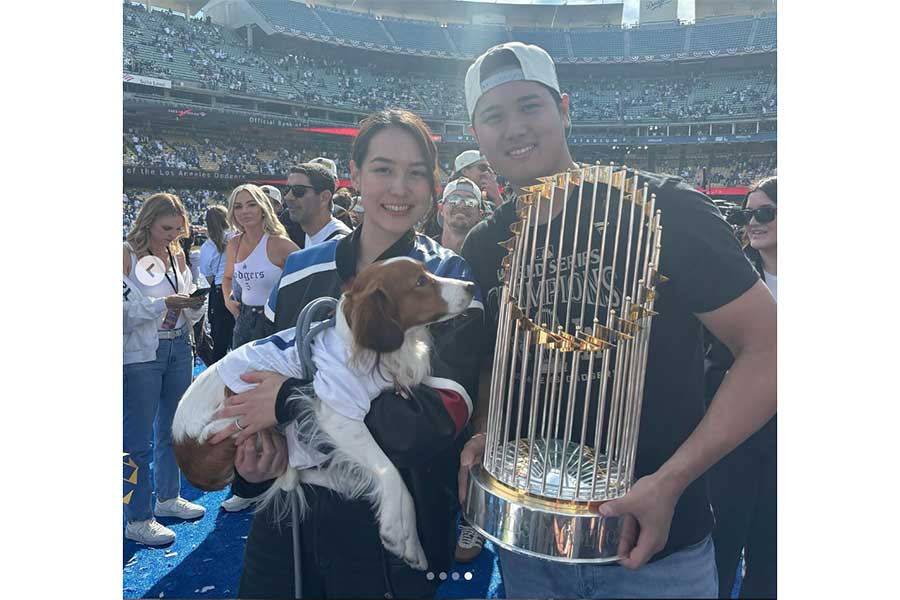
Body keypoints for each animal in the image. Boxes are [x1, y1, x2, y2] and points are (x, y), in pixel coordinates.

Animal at [171, 255, 474, 568]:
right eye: (420, 282)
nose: (471, 286)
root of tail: (182, 452)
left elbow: (458, 390)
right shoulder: (337, 412)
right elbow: (388, 471)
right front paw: (402, 534)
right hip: (231, 426)